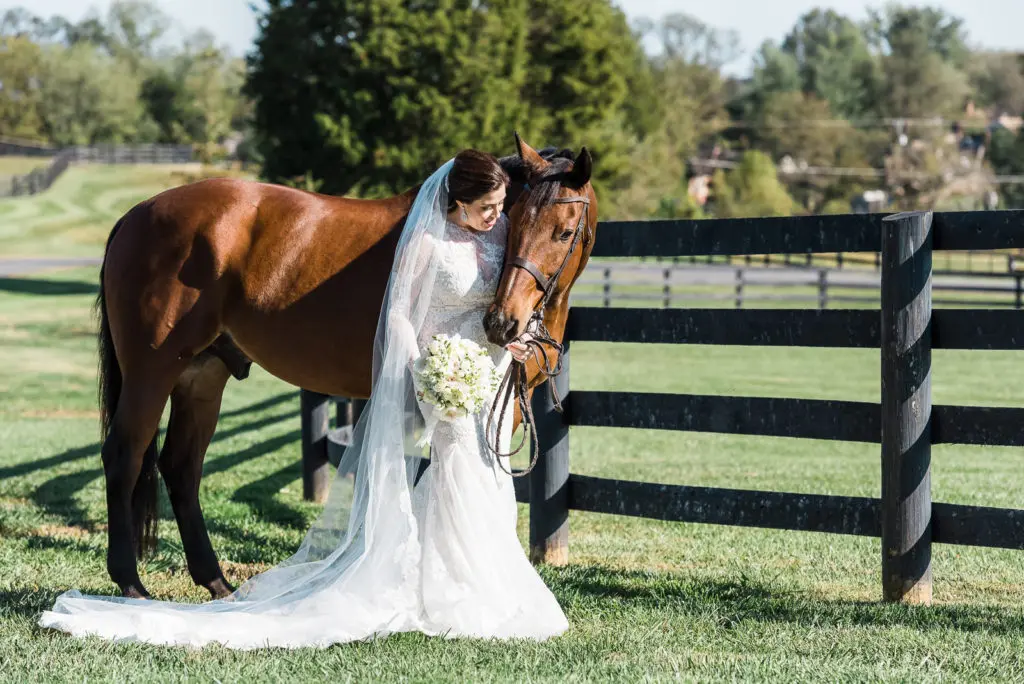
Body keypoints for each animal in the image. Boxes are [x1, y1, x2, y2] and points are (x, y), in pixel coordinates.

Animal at [96, 135, 598, 597]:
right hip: (151, 372)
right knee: (124, 456)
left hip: (202, 376)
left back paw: (215, 581)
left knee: (181, 467)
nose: (502, 322)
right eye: (516, 223)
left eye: (563, 231)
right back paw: (130, 584)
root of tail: (137, 214)